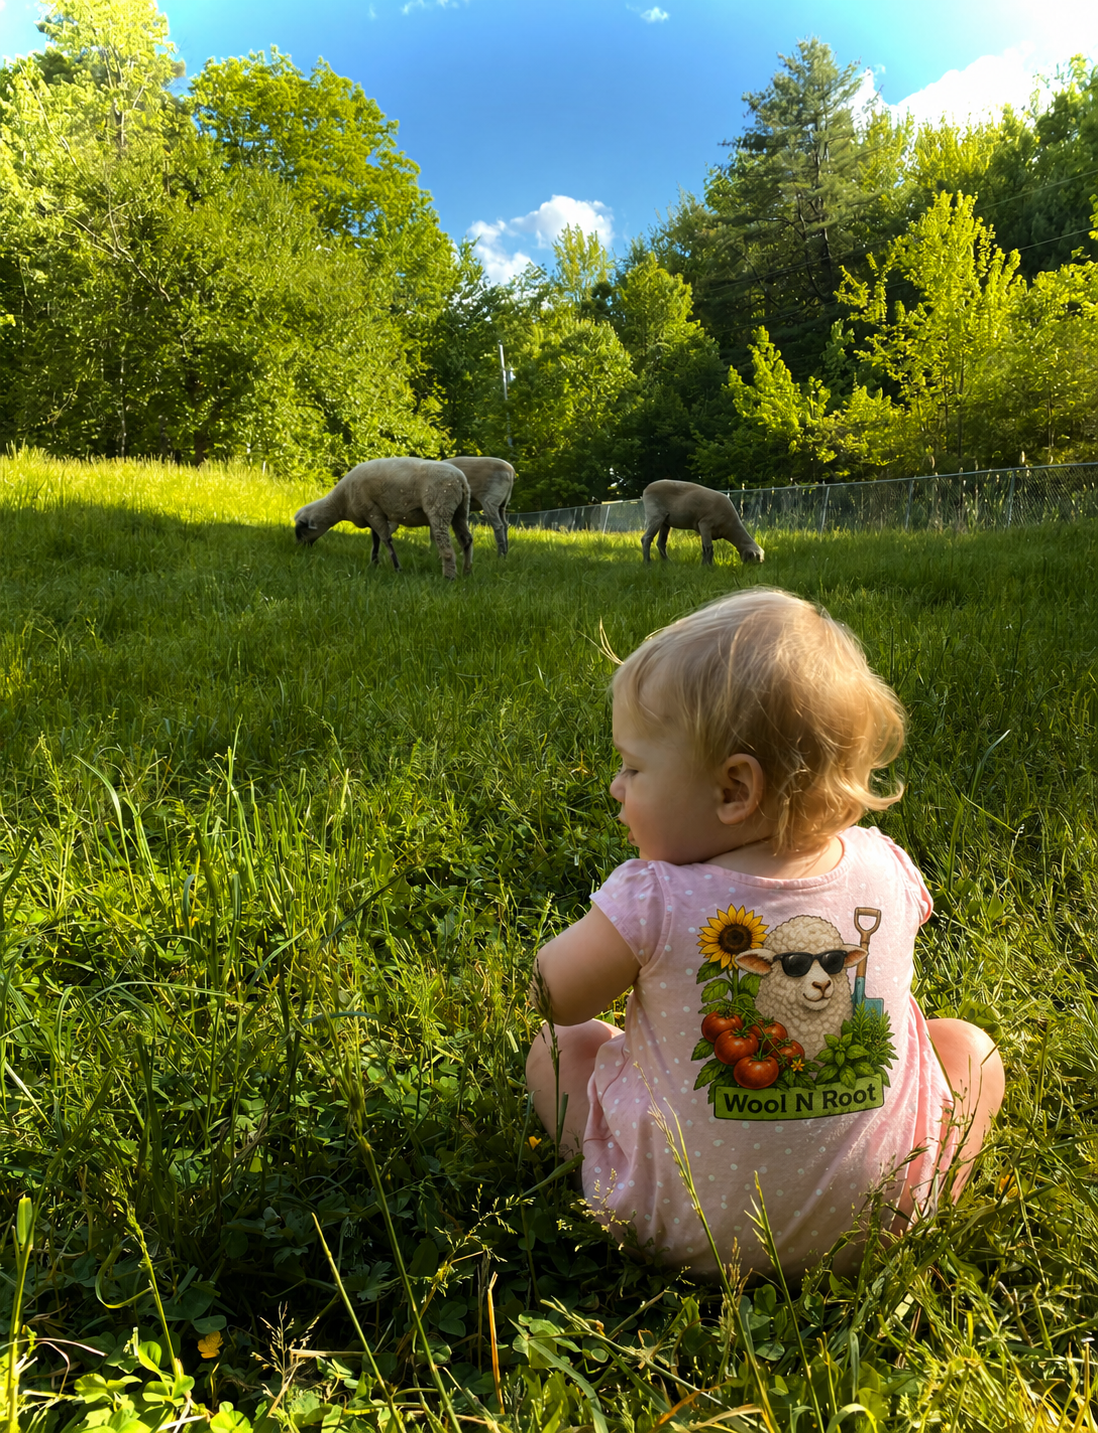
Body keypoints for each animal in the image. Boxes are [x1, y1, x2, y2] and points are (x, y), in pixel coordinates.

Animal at [294, 458, 473, 580]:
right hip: (461, 510)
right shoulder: (374, 513)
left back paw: (449, 577)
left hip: (440, 507)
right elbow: (376, 540)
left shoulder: (372, 511)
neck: (340, 503)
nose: (298, 548)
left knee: (447, 547)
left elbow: (386, 540)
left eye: (301, 530)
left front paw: (397, 568)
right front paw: (374, 563)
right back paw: (467, 572)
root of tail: (461, 480)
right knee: (467, 540)